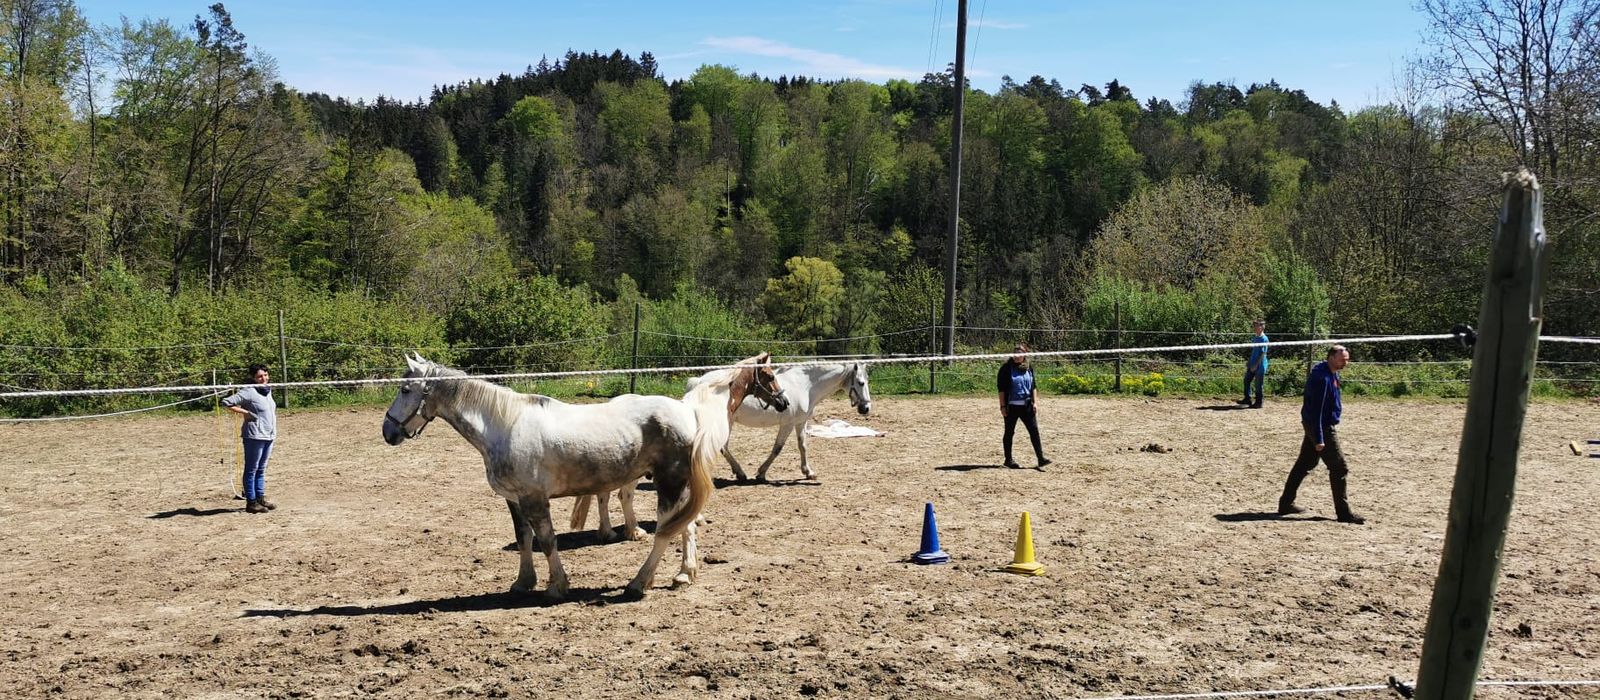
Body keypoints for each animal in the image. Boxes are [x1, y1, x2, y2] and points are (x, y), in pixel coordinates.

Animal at [381, 352, 788, 599]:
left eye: (405, 388)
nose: (388, 432)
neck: (504, 425)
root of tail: (689, 413)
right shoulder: (514, 500)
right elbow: (524, 540)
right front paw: (523, 583)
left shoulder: (534, 499)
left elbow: (547, 542)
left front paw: (556, 587)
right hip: (679, 484)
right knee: (684, 527)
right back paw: (683, 575)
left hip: (669, 483)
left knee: (664, 532)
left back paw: (638, 583)